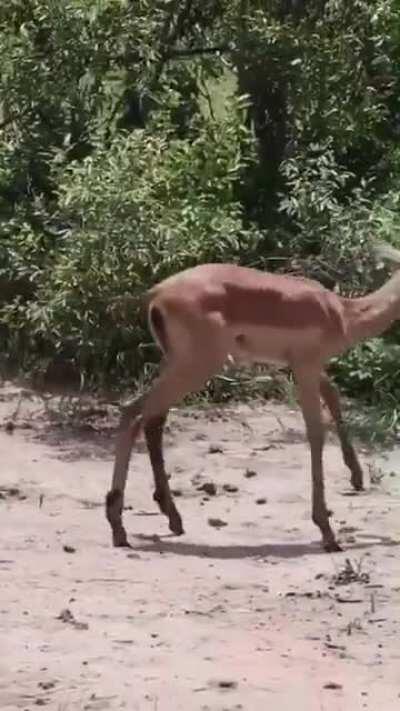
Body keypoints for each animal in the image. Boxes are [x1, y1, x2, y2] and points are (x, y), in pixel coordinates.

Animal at [106, 242, 400, 552]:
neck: (342, 312)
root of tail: (157, 294)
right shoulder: (306, 365)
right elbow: (316, 433)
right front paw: (327, 531)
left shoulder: (305, 366)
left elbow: (332, 396)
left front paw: (356, 477)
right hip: (199, 365)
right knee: (135, 412)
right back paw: (120, 527)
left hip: (176, 363)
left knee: (151, 417)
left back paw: (170, 518)